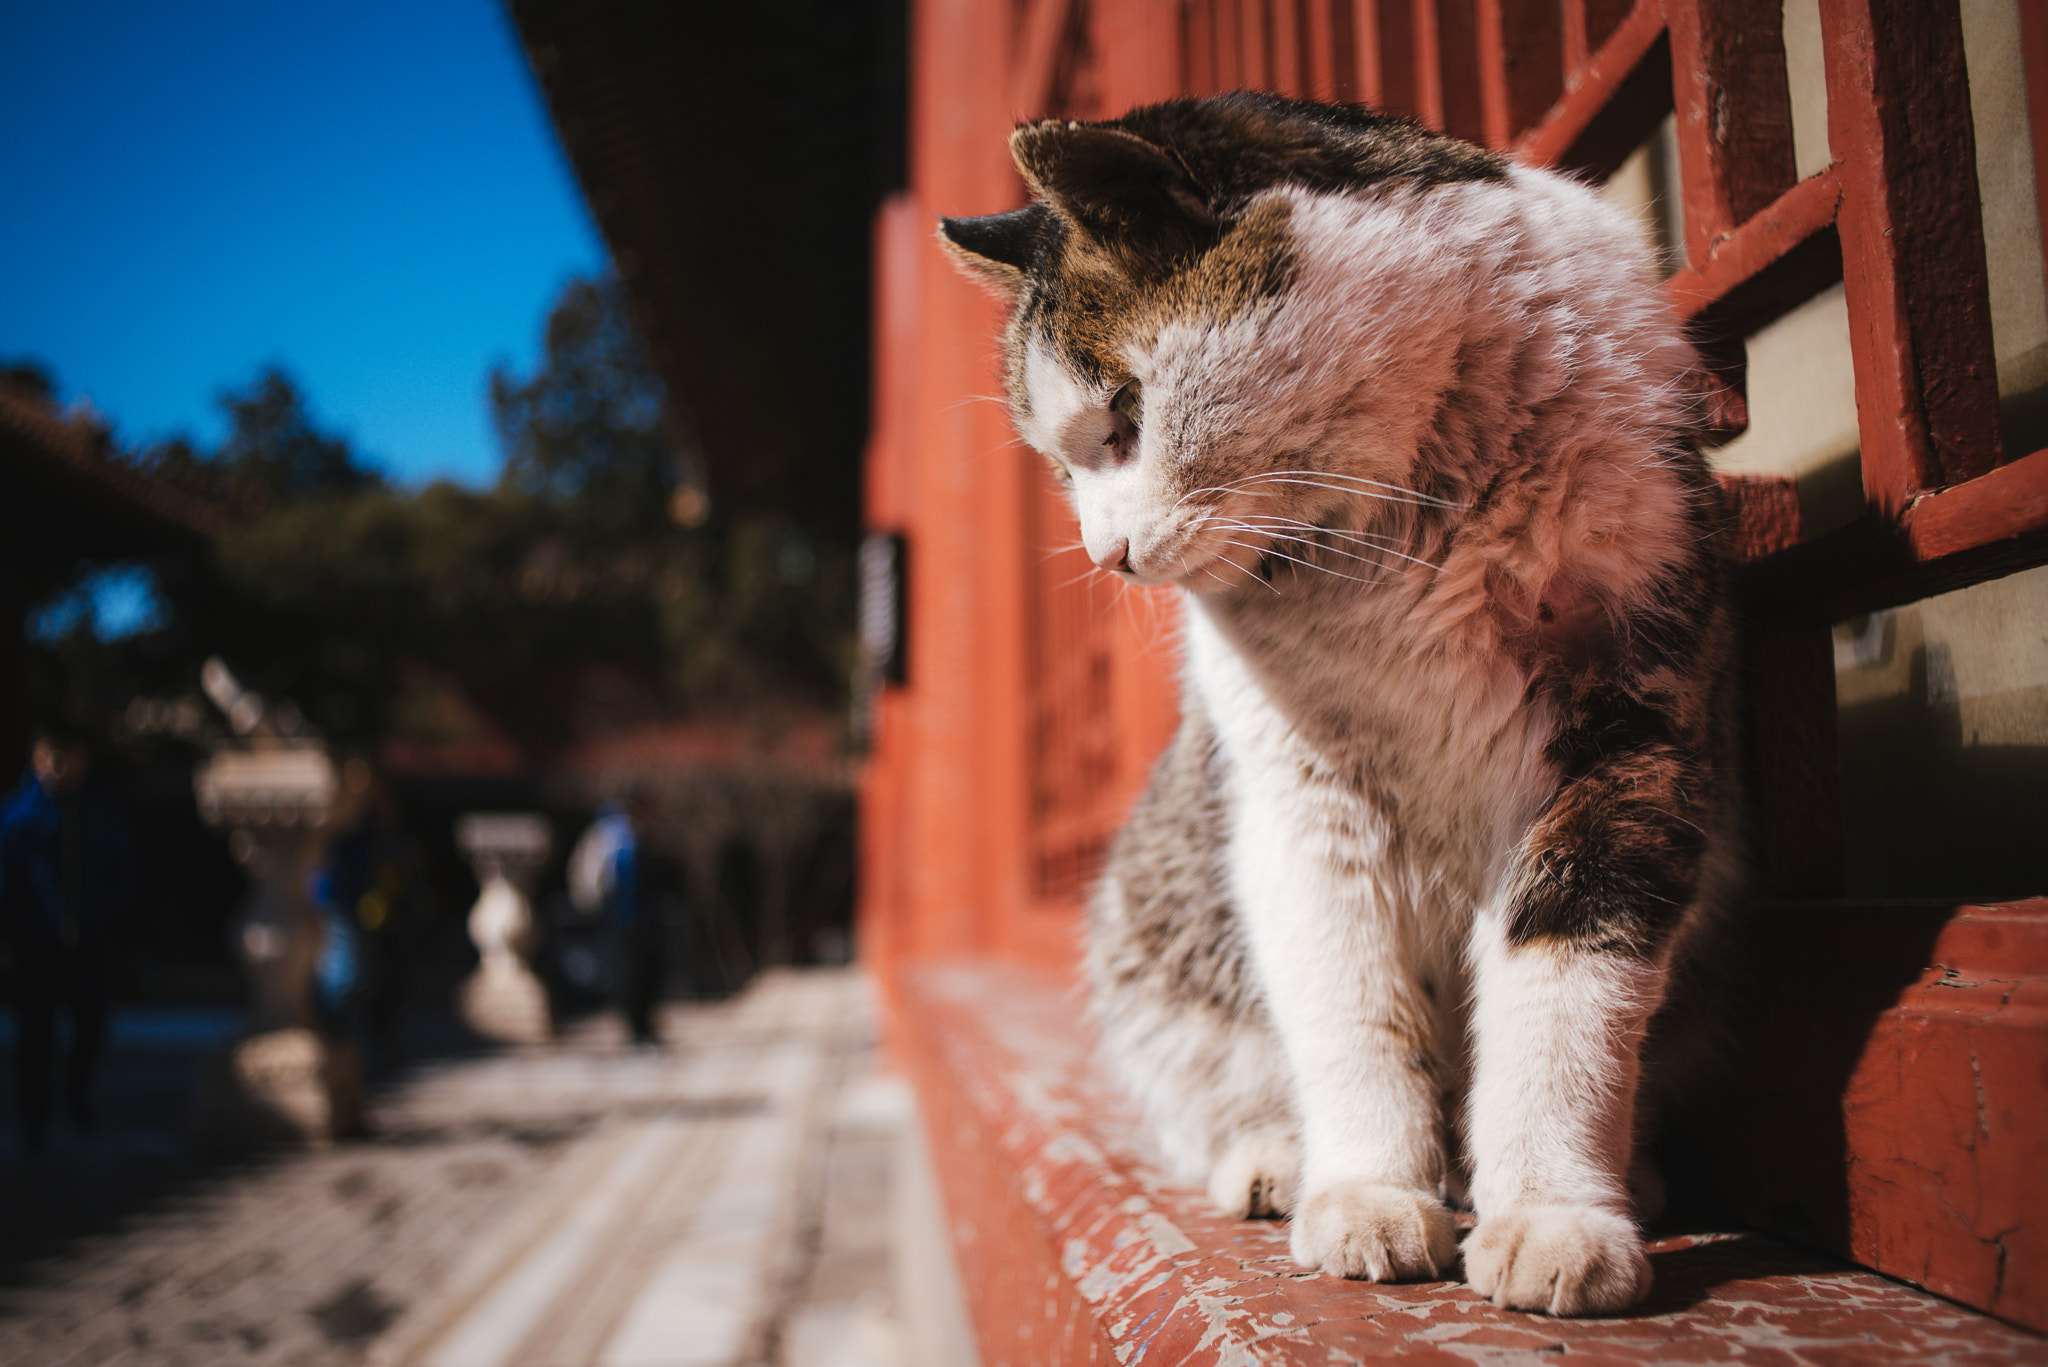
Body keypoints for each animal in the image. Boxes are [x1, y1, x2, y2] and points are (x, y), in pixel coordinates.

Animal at [937, 93, 1736, 1311]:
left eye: (1124, 413)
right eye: (1061, 465)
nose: (1107, 553)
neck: (1400, 532)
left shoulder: (1625, 736)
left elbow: (1564, 990)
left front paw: (1556, 1214)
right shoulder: (1300, 801)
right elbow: (1348, 1010)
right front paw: (1367, 1193)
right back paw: (1277, 1160)